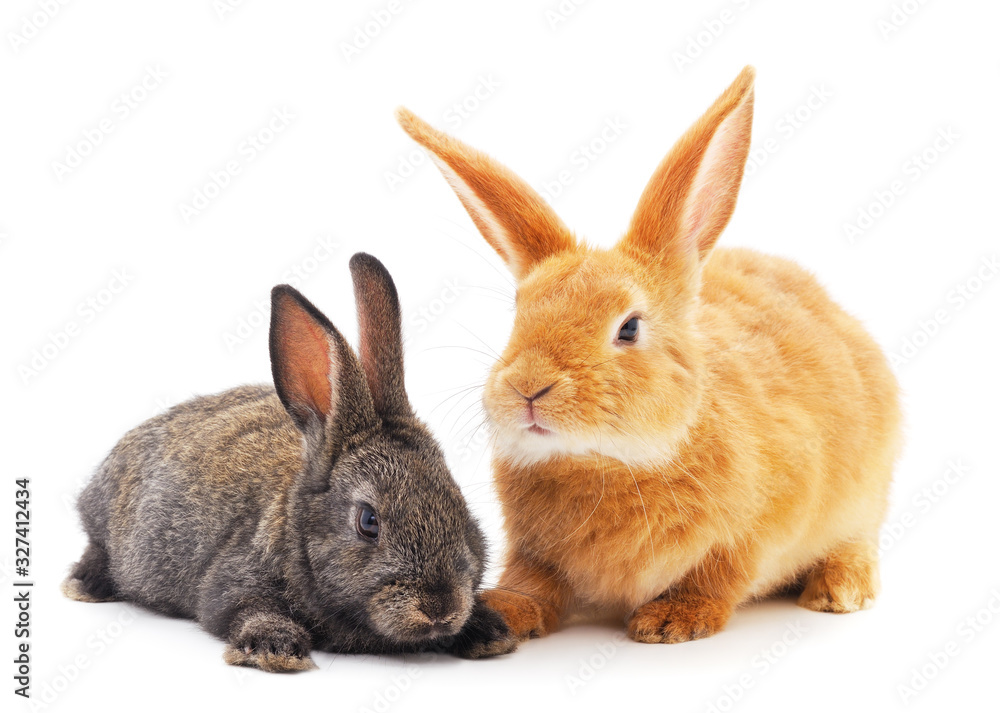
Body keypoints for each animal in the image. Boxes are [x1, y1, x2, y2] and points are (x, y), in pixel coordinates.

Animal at [62, 253, 517, 671]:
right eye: (368, 521)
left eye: (460, 504)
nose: (441, 608)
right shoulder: (232, 585)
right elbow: (243, 610)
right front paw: (276, 650)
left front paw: (489, 633)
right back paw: (84, 585)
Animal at [396, 66, 903, 644]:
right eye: (518, 312)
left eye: (629, 328)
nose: (528, 386)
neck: (605, 464)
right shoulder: (533, 551)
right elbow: (533, 583)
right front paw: (502, 610)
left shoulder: (757, 530)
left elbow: (719, 575)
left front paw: (671, 620)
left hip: (864, 496)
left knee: (855, 540)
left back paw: (838, 592)